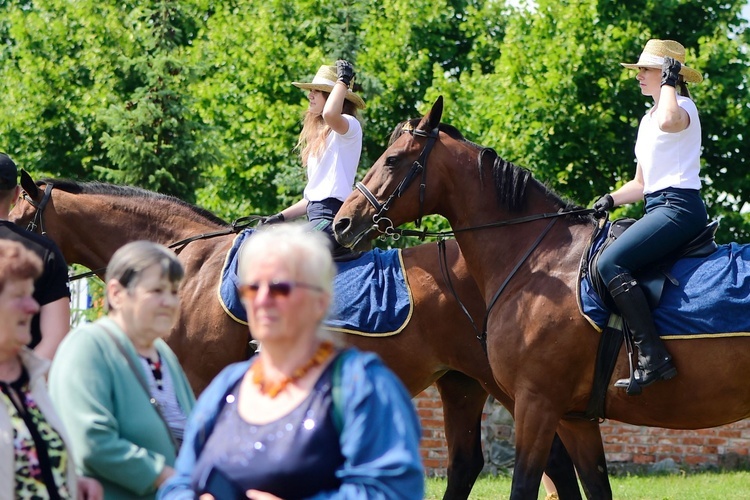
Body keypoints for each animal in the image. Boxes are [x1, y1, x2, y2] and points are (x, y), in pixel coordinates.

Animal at [11, 170, 584, 498]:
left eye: (16, 217)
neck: (190, 267)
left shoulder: (200, 383)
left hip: (510, 385)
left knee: (552, 461)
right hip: (461, 382)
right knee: (471, 463)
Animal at [334, 95, 750, 498]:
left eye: (392, 160)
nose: (343, 223)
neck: (540, 262)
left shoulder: (536, 404)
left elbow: (524, 484)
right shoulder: (573, 418)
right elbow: (593, 486)